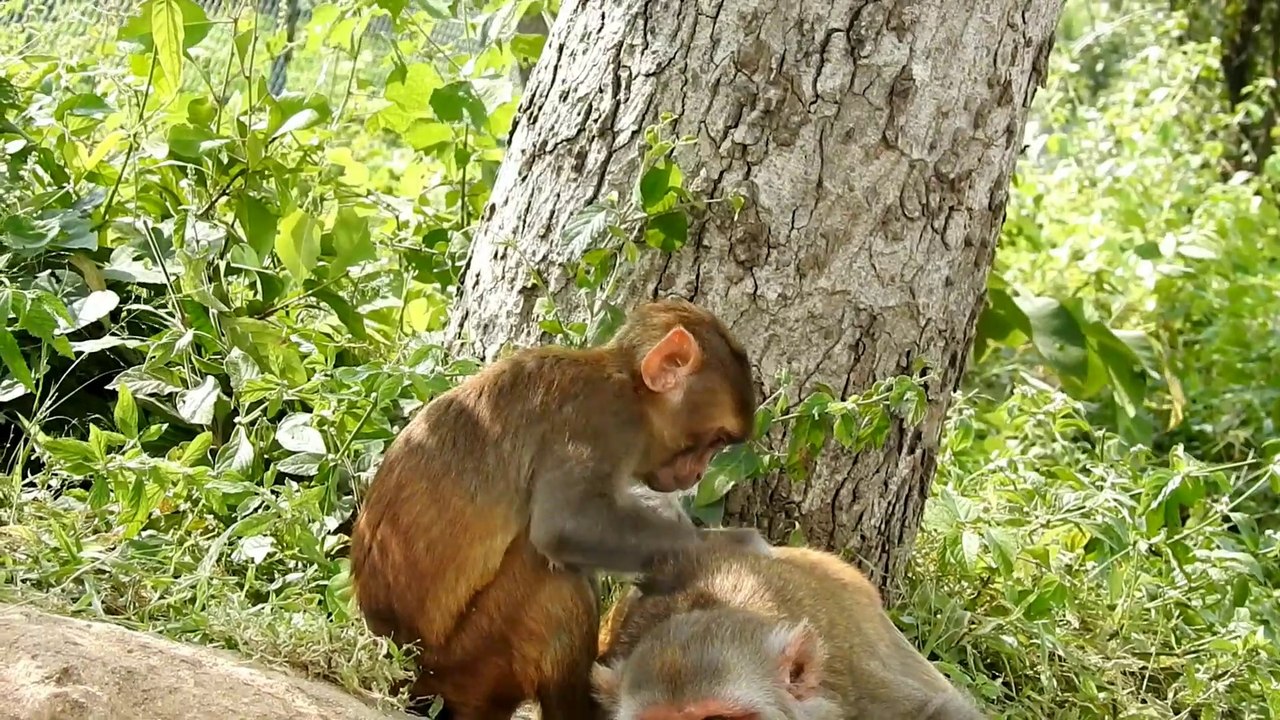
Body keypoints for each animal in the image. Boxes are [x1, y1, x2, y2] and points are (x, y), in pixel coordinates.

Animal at [349, 298, 764, 720]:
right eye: (715, 440)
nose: (697, 473)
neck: (628, 385)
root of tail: (398, 665)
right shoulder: (601, 420)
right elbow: (567, 525)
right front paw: (735, 546)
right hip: (464, 665)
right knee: (555, 579)